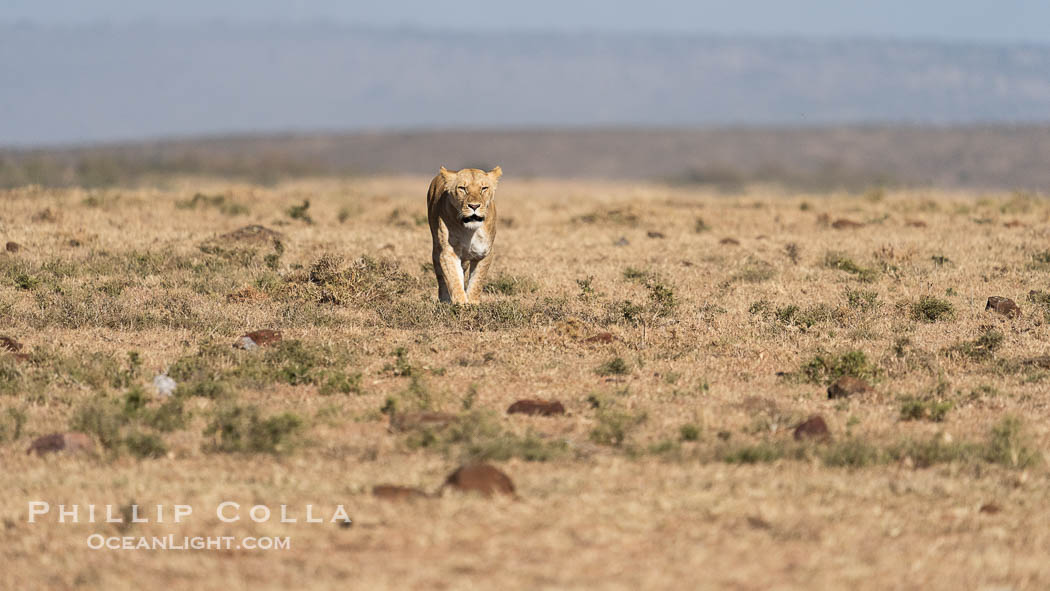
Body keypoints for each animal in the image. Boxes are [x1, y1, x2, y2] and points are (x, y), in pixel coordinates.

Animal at [427, 166, 502, 303]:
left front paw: (472, 303)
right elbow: (454, 279)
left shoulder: (484, 253)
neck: (470, 231)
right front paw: (460, 304)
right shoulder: (448, 252)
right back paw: (444, 300)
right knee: (442, 278)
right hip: (436, 249)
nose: (474, 206)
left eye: (484, 188)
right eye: (462, 188)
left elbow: (477, 281)